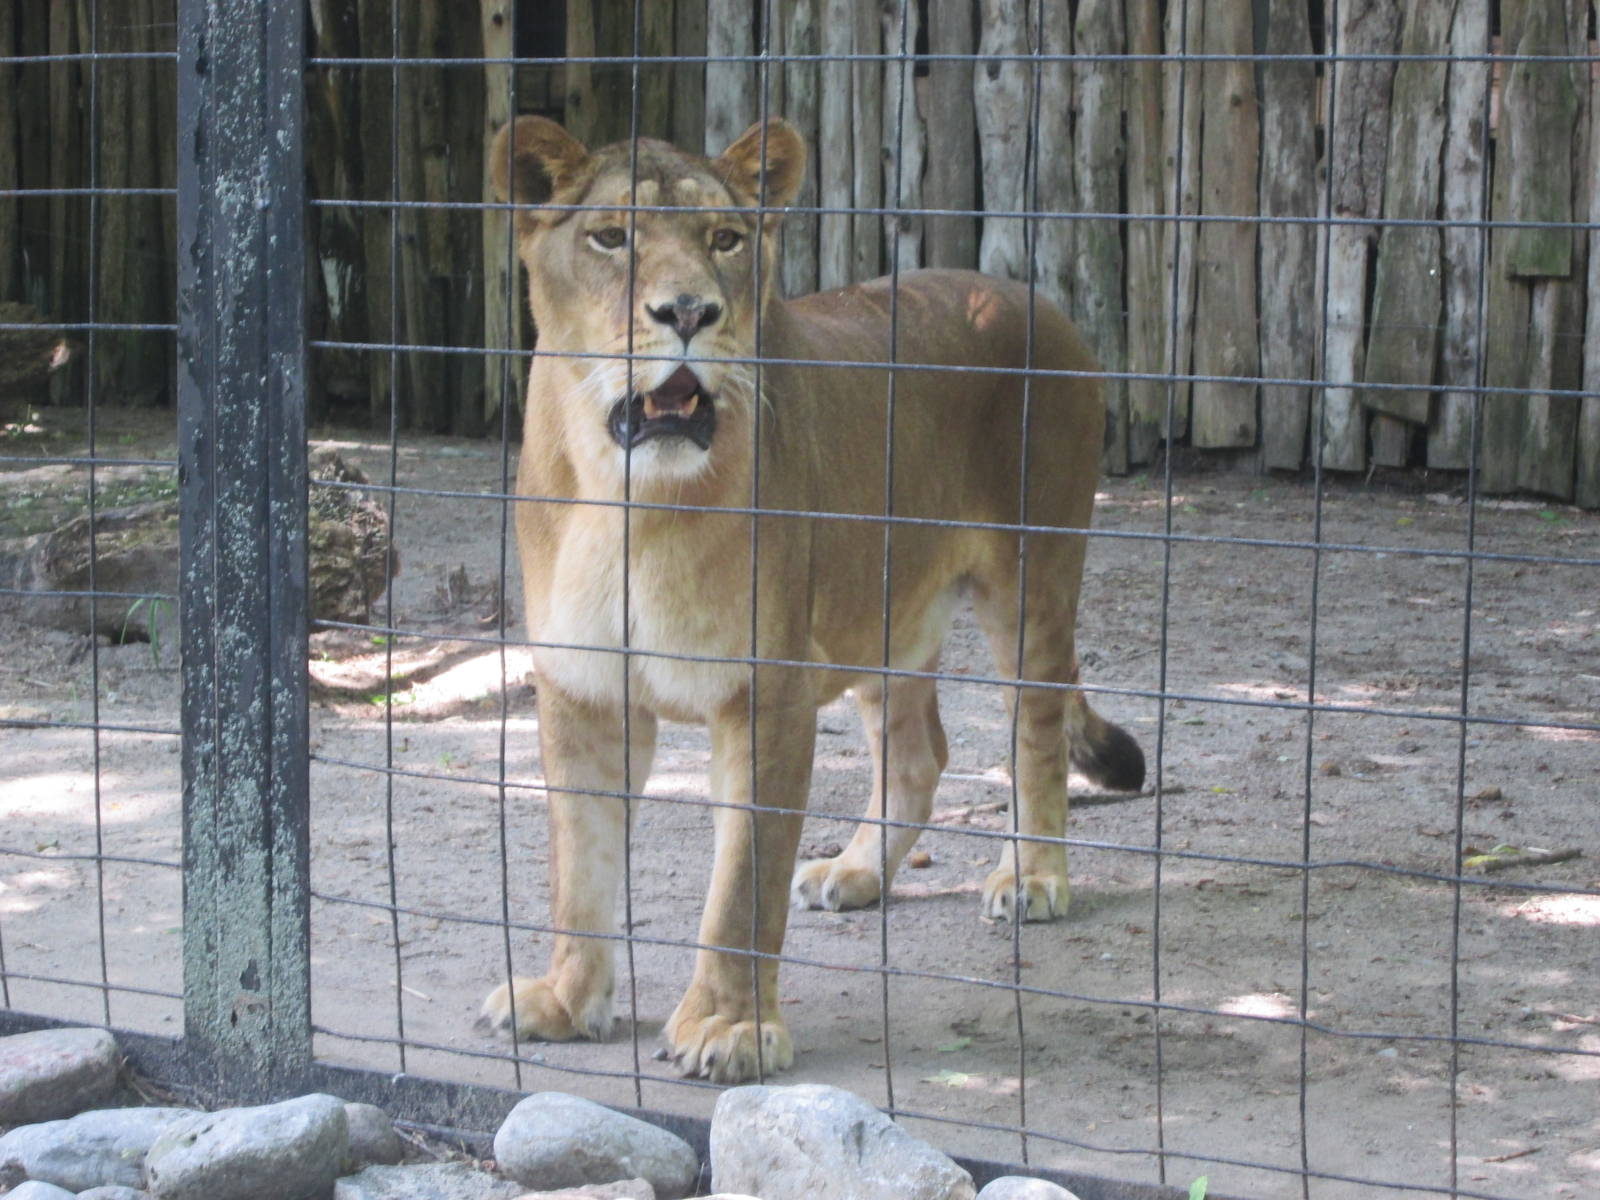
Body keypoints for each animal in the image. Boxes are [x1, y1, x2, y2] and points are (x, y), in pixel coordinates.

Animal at [478, 115, 1145, 1084]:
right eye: (610, 237)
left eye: (726, 240)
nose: (689, 313)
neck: (626, 500)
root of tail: (1035, 300)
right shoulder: (583, 690)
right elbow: (580, 863)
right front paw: (565, 1000)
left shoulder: (766, 692)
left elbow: (741, 888)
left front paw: (729, 1028)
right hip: (884, 613)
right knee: (919, 753)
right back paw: (855, 872)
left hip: (1033, 581)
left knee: (1038, 729)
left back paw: (1032, 878)